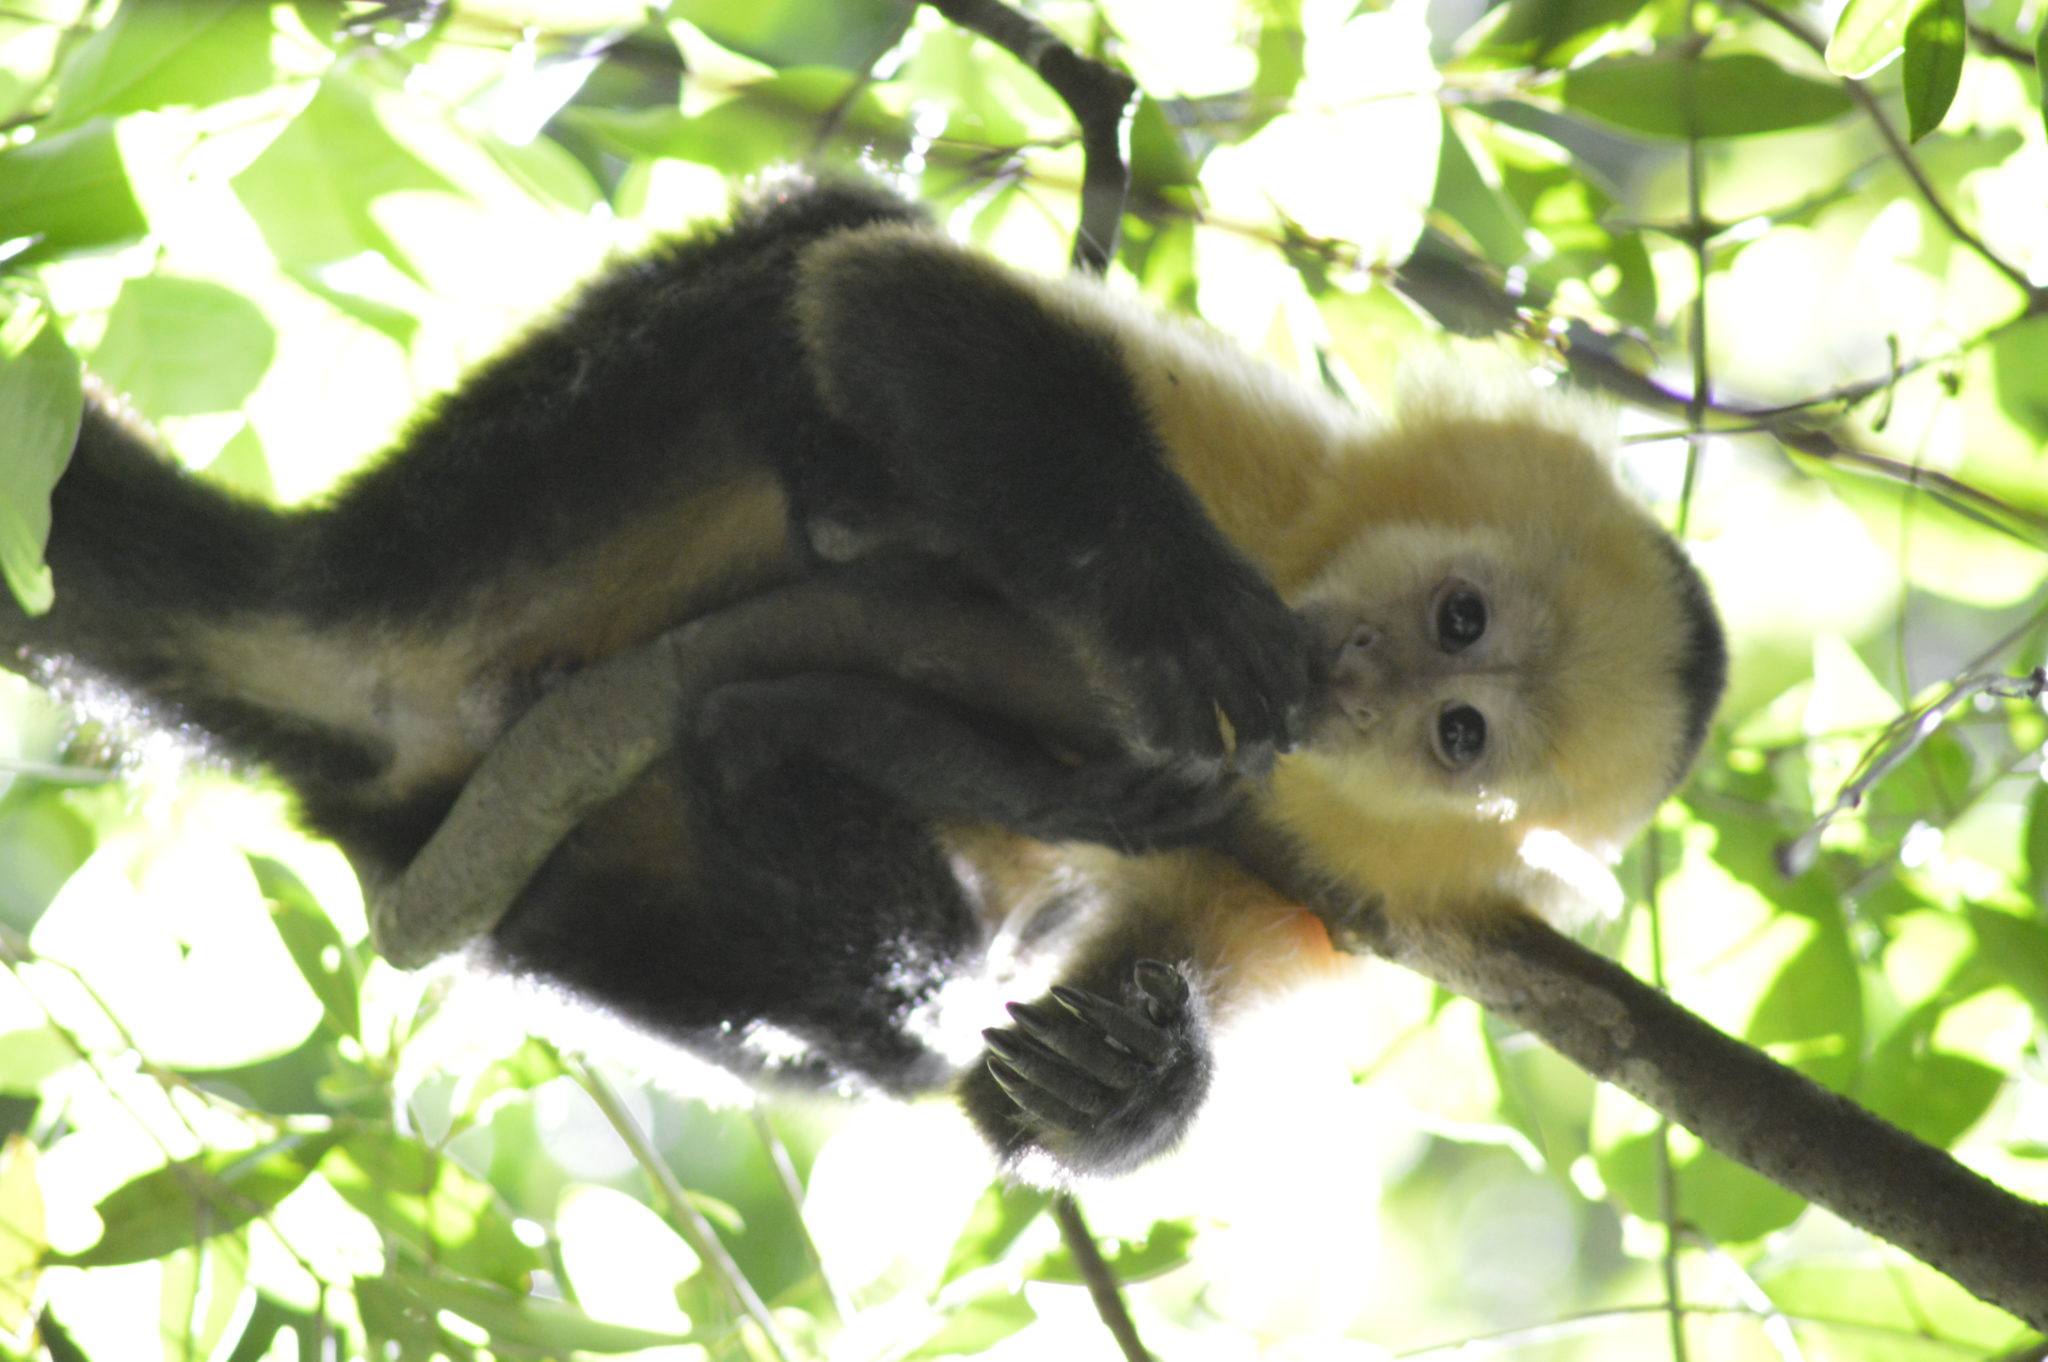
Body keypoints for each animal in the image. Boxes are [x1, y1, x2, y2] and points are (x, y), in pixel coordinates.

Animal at [4, 175, 1725, 1182]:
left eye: (1460, 733)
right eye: (1459, 617)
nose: (1362, 675)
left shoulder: (1336, 871)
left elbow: (1034, 1081)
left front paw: (1133, 1071)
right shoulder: (1275, 494)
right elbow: (896, 301)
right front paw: (1166, 610)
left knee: (880, 1014)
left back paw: (838, 832)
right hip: (496, 521)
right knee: (824, 241)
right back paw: (848, 514)